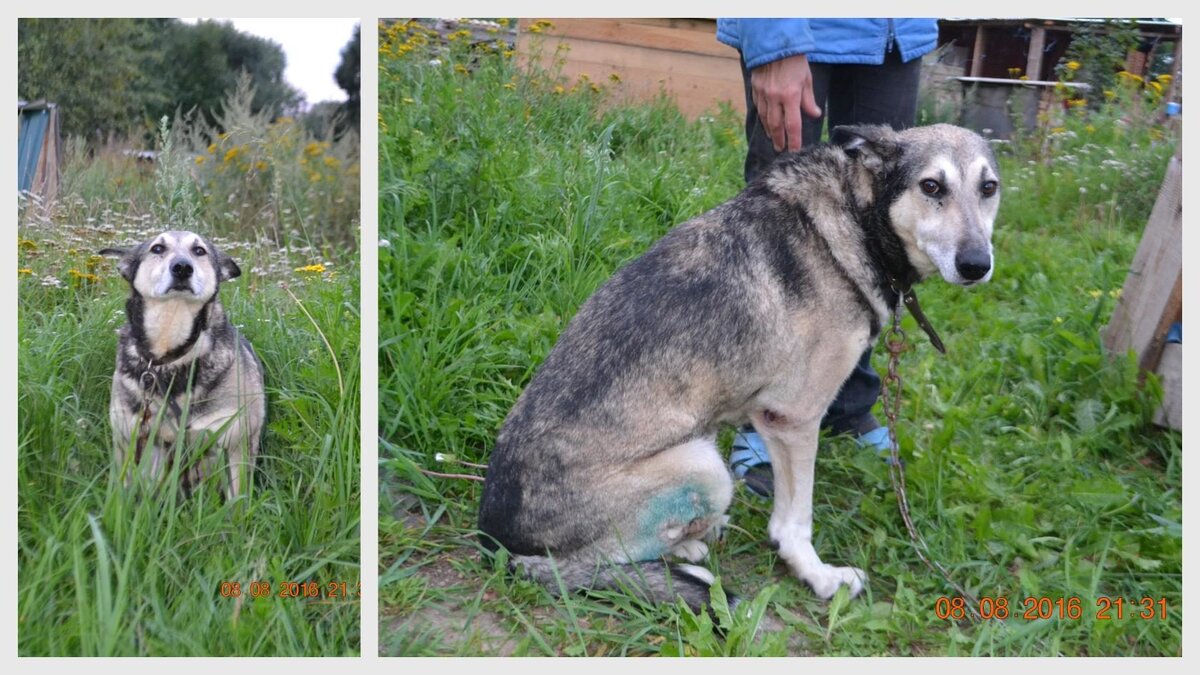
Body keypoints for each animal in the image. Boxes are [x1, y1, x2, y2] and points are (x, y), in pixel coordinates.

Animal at [101, 228, 267, 497]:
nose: (181, 267)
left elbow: (238, 501)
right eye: (158, 248)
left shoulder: (236, 444)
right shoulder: (129, 441)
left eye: (199, 250)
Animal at [477, 123, 1003, 607]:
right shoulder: (793, 418)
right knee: (594, 562)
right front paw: (819, 577)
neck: (858, 217)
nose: (977, 264)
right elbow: (795, 522)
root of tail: (495, 543)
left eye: (989, 188)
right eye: (931, 186)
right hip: (703, 466)